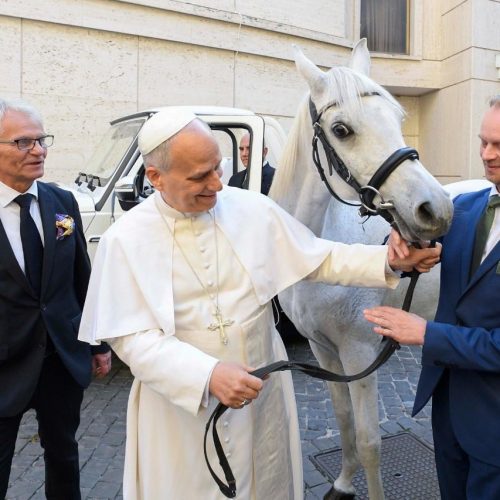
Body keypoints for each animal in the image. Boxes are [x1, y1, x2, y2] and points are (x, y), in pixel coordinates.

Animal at [270, 39, 454, 500]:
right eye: (341, 130)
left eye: (398, 119)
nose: (436, 210)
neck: (323, 251)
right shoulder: (323, 349)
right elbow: (343, 420)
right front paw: (343, 483)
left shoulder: (360, 351)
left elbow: (370, 441)